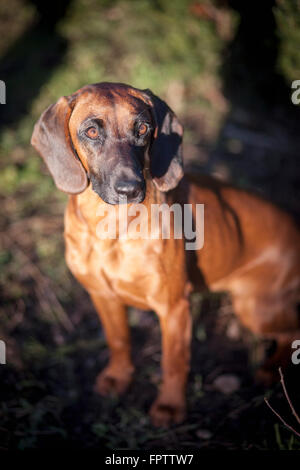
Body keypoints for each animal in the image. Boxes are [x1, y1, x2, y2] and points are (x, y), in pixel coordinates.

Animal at [31, 82, 300, 428]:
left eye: (143, 128)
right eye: (91, 131)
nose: (130, 189)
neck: (110, 230)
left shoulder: (173, 308)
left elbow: (174, 362)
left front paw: (170, 407)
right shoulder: (103, 296)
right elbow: (118, 340)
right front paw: (119, 377)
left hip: (254, 308)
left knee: (292, 332)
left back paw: (269, 370)